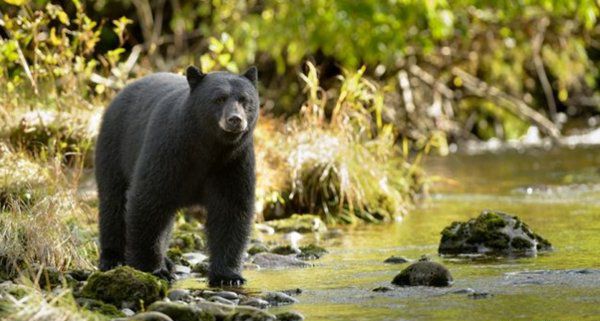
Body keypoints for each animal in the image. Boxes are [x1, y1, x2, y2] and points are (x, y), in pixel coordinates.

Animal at [95, 65, 258, 284]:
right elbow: (148, 200)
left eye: (244, 99)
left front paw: (228, 276)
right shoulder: (168, 150)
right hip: (114, 146)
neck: (208, 147)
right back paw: (113, 258)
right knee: (113, 201)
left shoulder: (234, 161)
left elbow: (231, 209)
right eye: (219, 99)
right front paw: (153, 269)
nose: (235, 120)